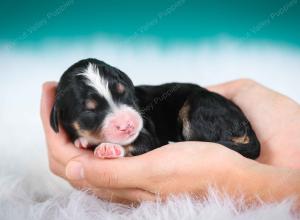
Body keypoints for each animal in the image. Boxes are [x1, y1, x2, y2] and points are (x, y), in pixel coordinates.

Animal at [49, 58, 260, 158]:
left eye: (124, 92)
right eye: (89, 111)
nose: (127, 125)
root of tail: (246, 124)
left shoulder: (148, 134)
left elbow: (138, 144)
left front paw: (109, 148)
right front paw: (83, 140)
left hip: (199, 109)